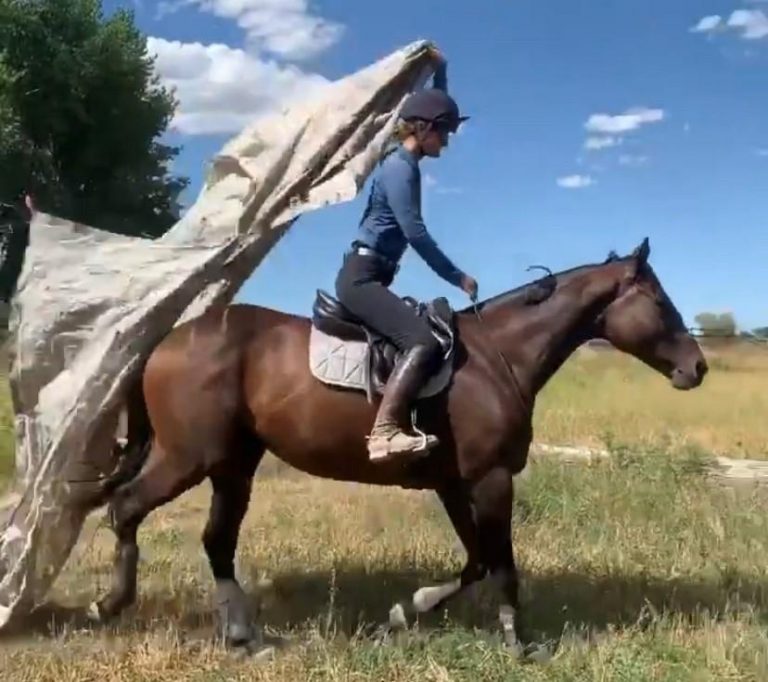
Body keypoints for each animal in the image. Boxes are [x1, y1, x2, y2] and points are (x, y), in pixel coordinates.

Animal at [88, 237, 707, 659]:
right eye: (658, 300)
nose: (696, 368)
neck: (498, 357)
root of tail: (164, 343)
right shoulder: (490, 480)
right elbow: (502, 565)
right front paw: (520, 643)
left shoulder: (457, 484)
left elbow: (476, 562)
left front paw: (406, 612)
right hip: (187, 458)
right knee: (126, 508)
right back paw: (110, 604)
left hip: (233, 464)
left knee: (215, 541)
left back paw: (244, 636)